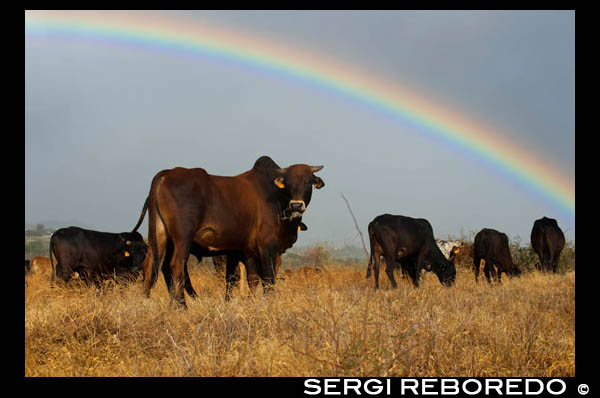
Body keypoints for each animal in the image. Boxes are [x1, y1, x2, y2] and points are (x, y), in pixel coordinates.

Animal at [131, 154, 324, 306]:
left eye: (308, 181)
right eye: (288, 183)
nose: (296, 205)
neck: (277, 198)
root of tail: (166, 173)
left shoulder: (247, 252)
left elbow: (250, 280)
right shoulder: (267, 247)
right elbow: (268, 279)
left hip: (159, 235)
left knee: (151, 266)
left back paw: (147, 302)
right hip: (182, 238)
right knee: (176, 266)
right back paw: (181, 306)